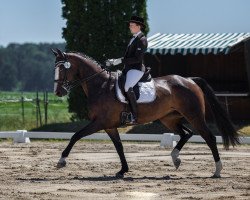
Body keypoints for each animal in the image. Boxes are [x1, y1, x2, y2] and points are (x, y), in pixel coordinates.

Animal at [51, 48, 239, 178]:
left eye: (63, 69)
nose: (58, 92)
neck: (101, 85)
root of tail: (189, 80)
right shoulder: (109, 126)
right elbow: (119, 147)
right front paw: (123, 170)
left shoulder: (100, 122)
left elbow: (76, 135)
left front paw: (61, 161)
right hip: (169, 118)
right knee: (186, 133)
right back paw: (175, 158)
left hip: (194, 116)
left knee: (209, 137)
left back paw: (217, 170)